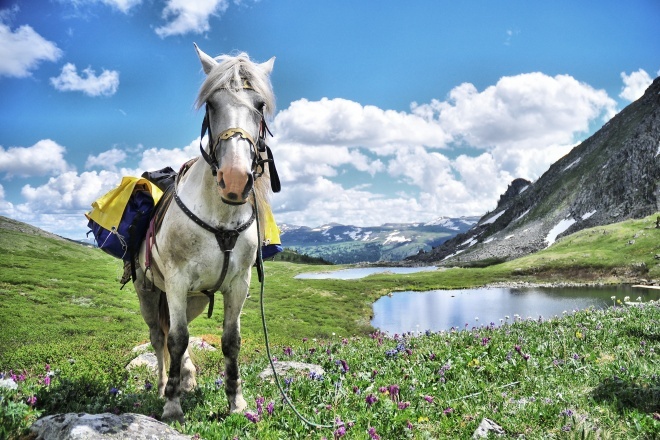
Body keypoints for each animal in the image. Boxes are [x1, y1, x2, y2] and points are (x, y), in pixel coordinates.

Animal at [134, 44, 276, 422]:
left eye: (260, 105)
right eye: (211, 104)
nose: (236, 179)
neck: (221, 218)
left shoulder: (238, 284)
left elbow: (230, 341)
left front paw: (236, 402)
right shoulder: (177, 281)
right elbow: (177, 339)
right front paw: (171, 404)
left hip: (195, 298)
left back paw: (186, 377)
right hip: (149, 292)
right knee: (160, 336)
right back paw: (162, 385)